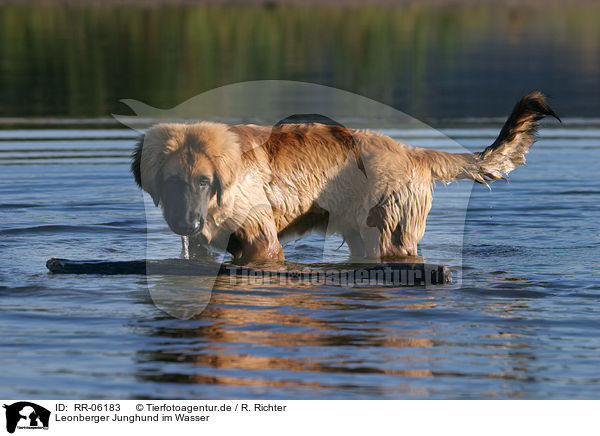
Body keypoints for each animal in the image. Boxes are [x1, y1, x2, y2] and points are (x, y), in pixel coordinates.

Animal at [131, 92, 556, 262]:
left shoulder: (260, 241)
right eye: (171, 182)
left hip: (387, 232)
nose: (187, 222)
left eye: (205, 181)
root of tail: (410, 152)